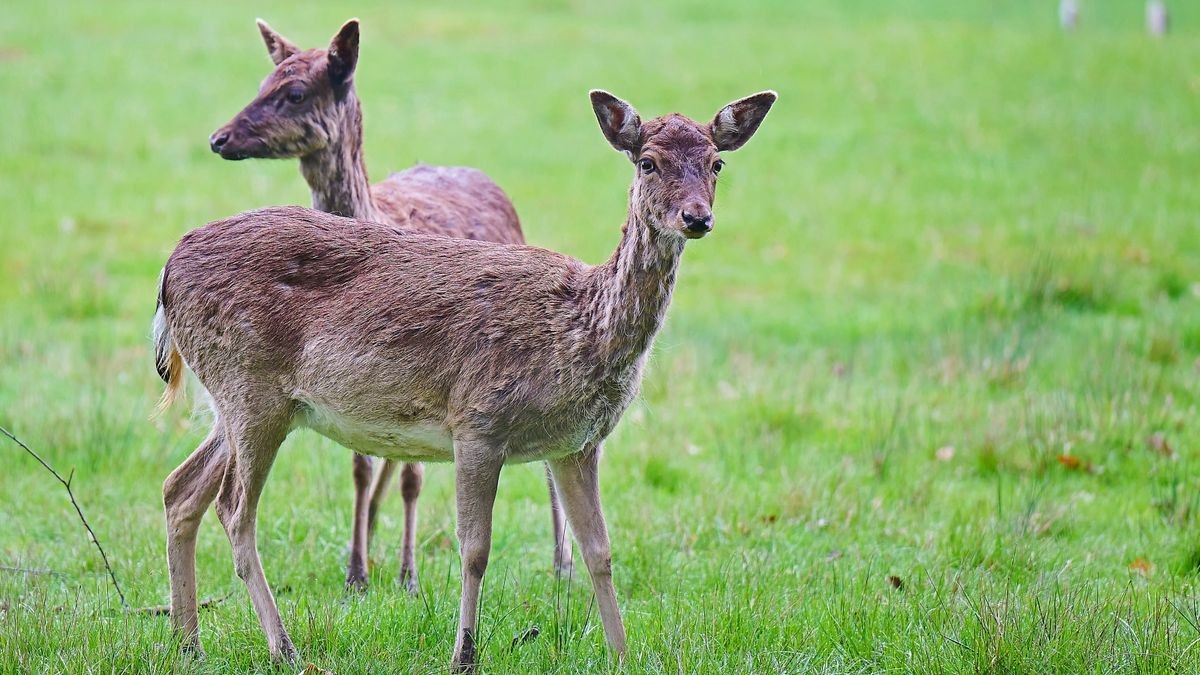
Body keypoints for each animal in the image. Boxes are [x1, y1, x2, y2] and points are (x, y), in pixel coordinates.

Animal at [157, 88, 777, 667]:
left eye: (717, 163)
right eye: (647, 161)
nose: (696, 218)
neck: (580, 330)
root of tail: (165, 272)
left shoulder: (577, 444)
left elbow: (599, 549)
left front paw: (622, 655)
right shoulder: (479, 419)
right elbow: (475, 549)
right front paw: (464, 654)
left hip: (240, 400)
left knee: (180, 488)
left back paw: (190, 644)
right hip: (250, 386)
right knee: (234, 510)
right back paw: (283, 648)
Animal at [207, 18, 571, 590]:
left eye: (295, 92)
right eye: (262, 82)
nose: (219, 138)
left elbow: (414, 476)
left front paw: (408, 574)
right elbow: (361, 467)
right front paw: (356, 569)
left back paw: (561, 562)